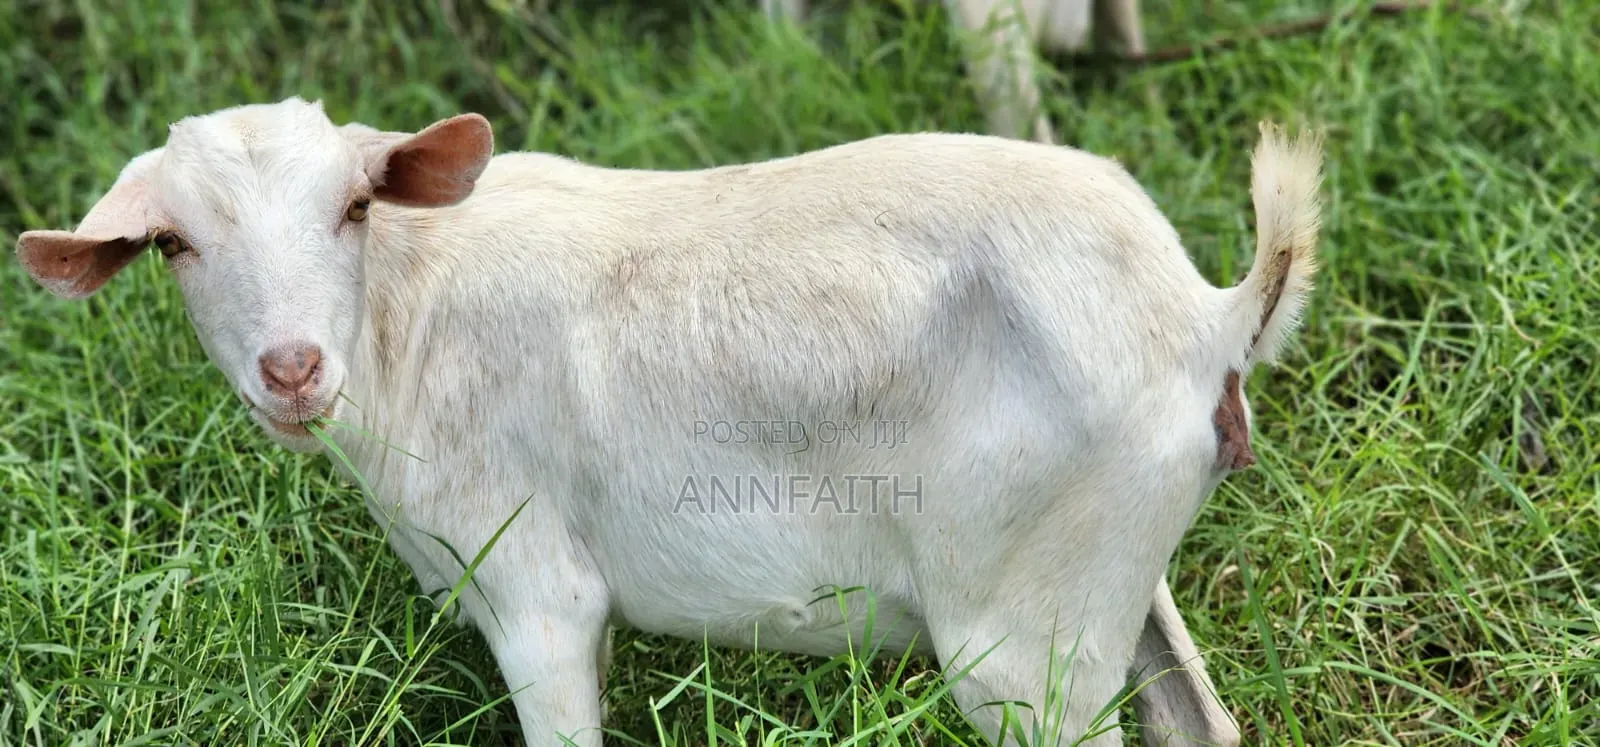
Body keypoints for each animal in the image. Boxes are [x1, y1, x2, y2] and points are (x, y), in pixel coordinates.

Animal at [16, 97, 1321, 746]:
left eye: (352, 207)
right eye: (173, 243)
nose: (292, 368)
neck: (406, 313)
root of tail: (1209, 313)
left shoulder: (531, 582)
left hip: (1022, 622)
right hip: (1108, 575)